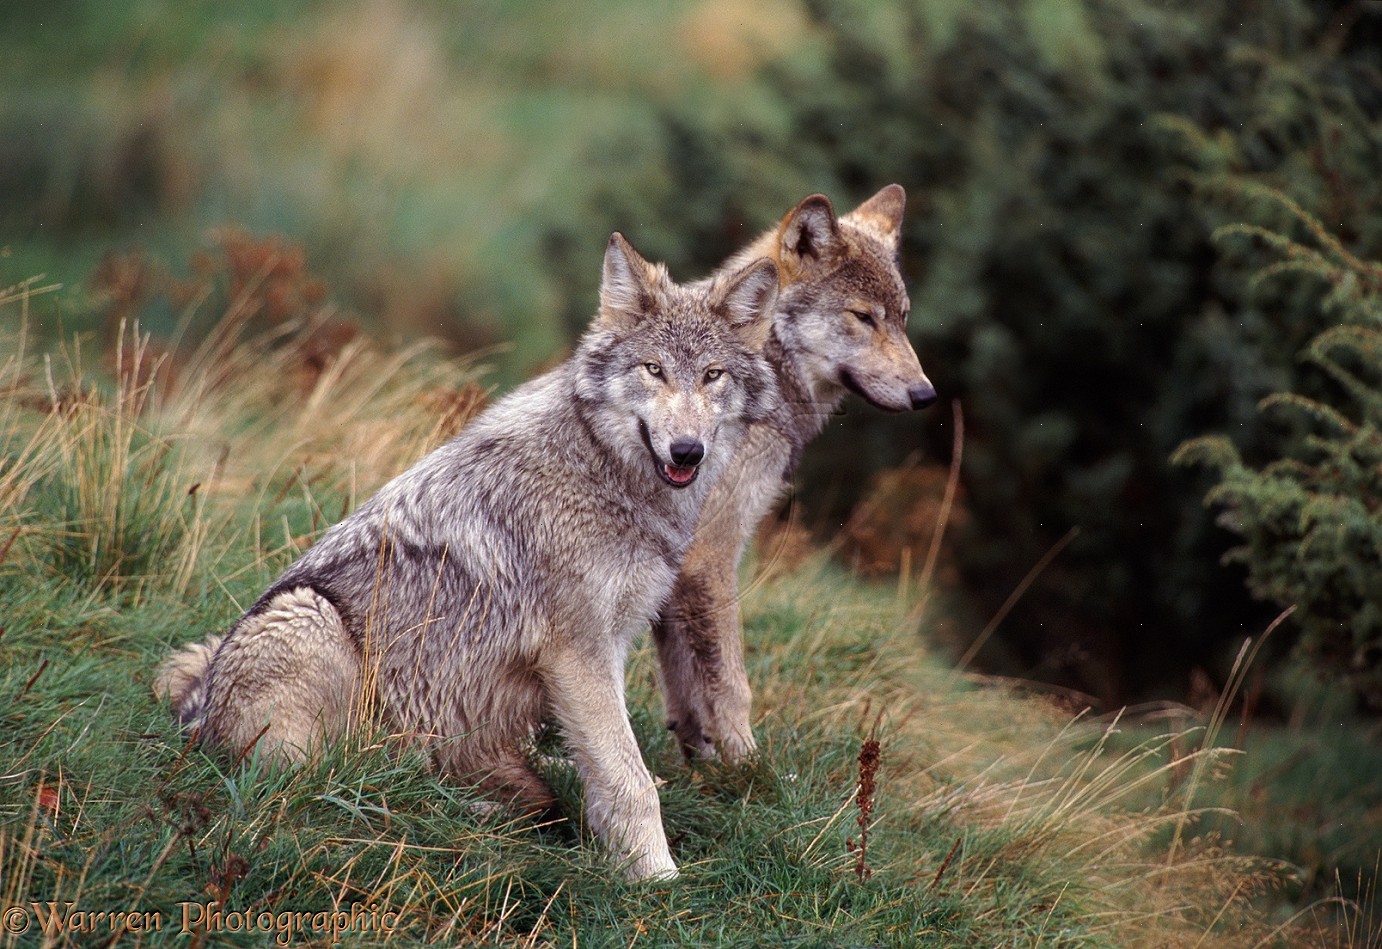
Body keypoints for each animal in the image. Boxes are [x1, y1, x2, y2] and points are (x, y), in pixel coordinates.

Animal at [155, 233, 780, 881]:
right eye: (653, 369)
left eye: (712, 376)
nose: (687, 450)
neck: (601, 469)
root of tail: (197, 713)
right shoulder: (577, 651)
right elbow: (630, 781)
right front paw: (657, 878)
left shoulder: (609, 645)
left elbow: (613, 770)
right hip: (310, 617)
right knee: (339, 780)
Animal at [652, 184, 935, 763]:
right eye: (863, 317)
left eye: (902, 318)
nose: (926, 395)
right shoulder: (710, 553)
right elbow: (731, 681)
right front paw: (747, 765)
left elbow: (683, 678)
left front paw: (698, 755)